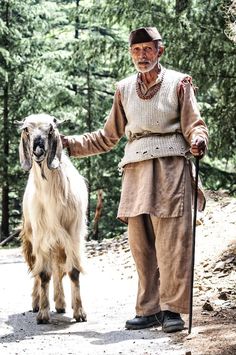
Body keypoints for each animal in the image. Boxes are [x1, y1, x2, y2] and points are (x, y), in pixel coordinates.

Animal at [18, 114, 88, 326]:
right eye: (26, 129)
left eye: (50, 129)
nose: (38, 148)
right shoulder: (41, 236)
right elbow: (42, 274)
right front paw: (42, 314)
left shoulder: (73, 234)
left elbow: (73, 271)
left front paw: (80, 312)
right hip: (31, 237)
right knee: (37, 269)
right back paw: (36, 302)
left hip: (58, 243)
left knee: (58, 268)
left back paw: (60, 302)